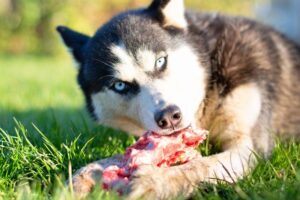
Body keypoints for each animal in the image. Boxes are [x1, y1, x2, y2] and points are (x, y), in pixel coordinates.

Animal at [56, 0, 300, 199]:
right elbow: (111, 160)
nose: (169, 117)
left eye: (160, 61)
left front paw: (155, 181)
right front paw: (78, 179)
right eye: (120, 85)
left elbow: (201, 166)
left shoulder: (249, 147)